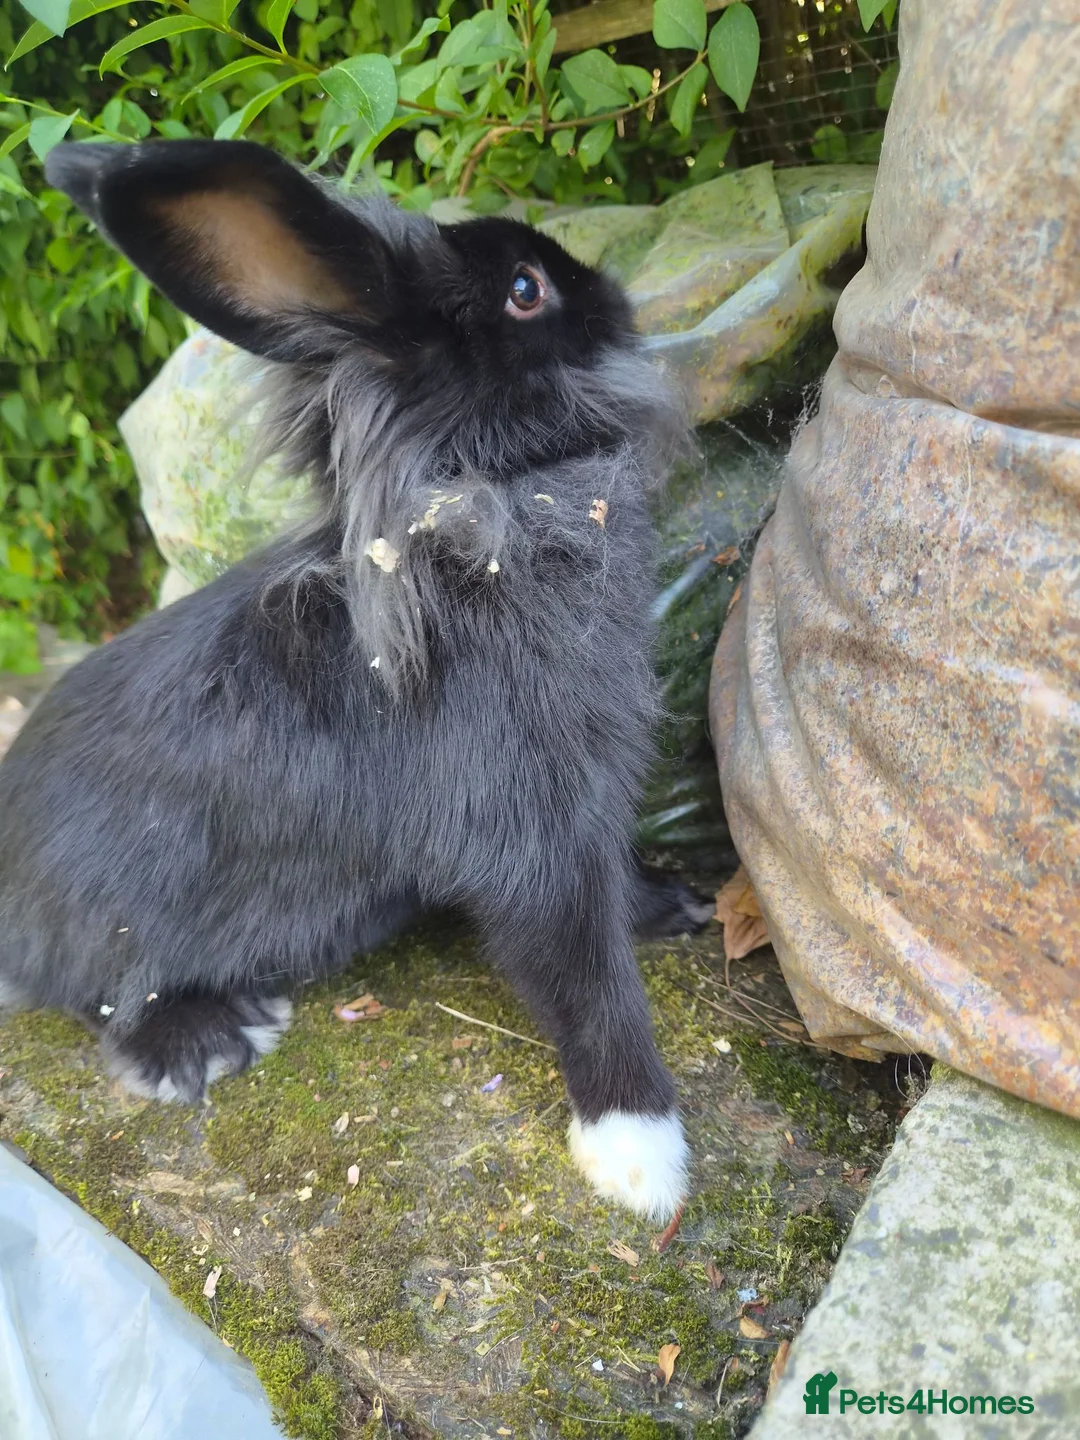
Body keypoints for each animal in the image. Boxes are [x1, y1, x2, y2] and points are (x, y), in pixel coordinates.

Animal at [0, 139, 712, 1220]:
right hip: (112, 926)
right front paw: (641, 1162)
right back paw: (209, 1039)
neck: (492, 516)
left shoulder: (593, 802)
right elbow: (587, 986)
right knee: (95, 997)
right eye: (525, 289)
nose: (615, 294)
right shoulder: (533, 843)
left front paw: (674, 908)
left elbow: (617, 894)